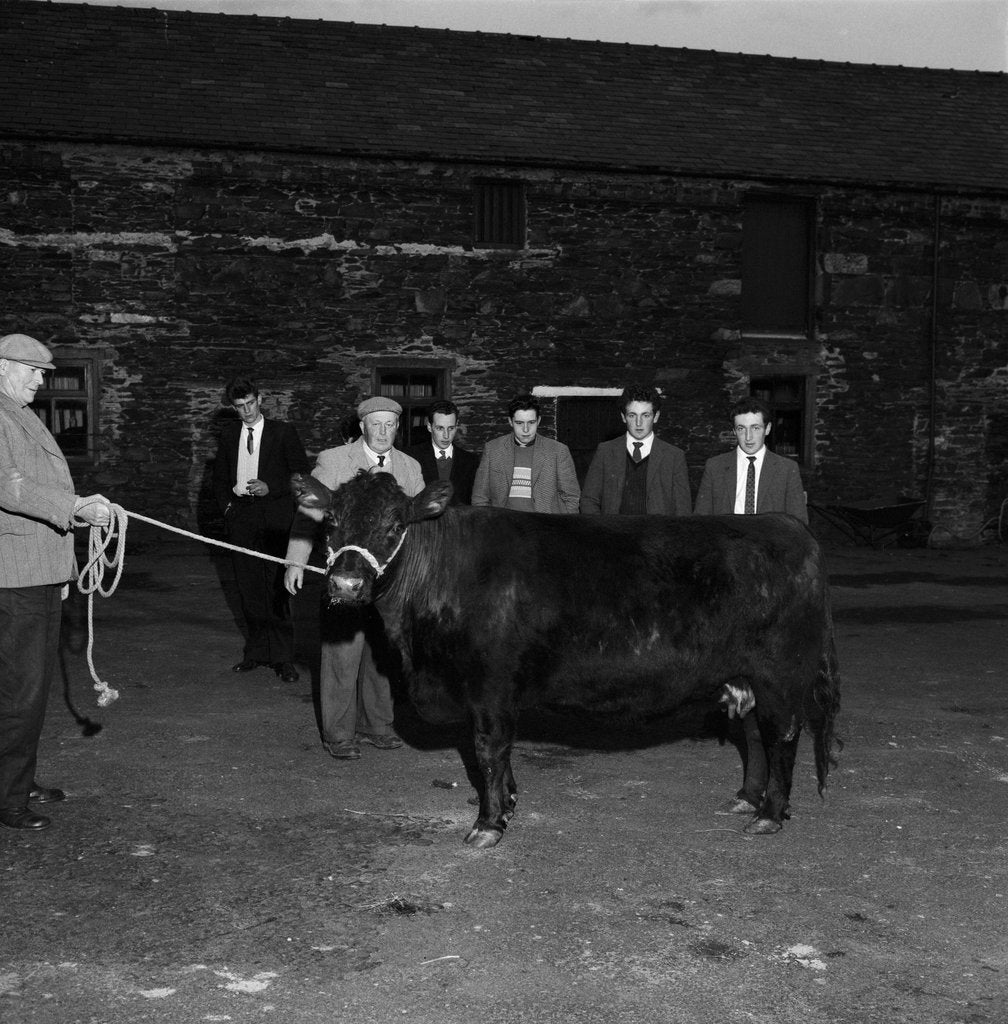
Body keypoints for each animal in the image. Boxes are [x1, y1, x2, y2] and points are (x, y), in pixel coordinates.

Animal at [295, 471, 840, 847]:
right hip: (745, 676)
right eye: (332, 521)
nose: (346, 583)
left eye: (394, 524)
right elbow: (500, 756)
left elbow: (488, 749)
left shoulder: (490, 686)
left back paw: (770, 814)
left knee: (782, 735)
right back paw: (748, 800)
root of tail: (788, 525)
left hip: (780, 675)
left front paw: (488, 824)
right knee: (755, 735)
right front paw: (508, 804)